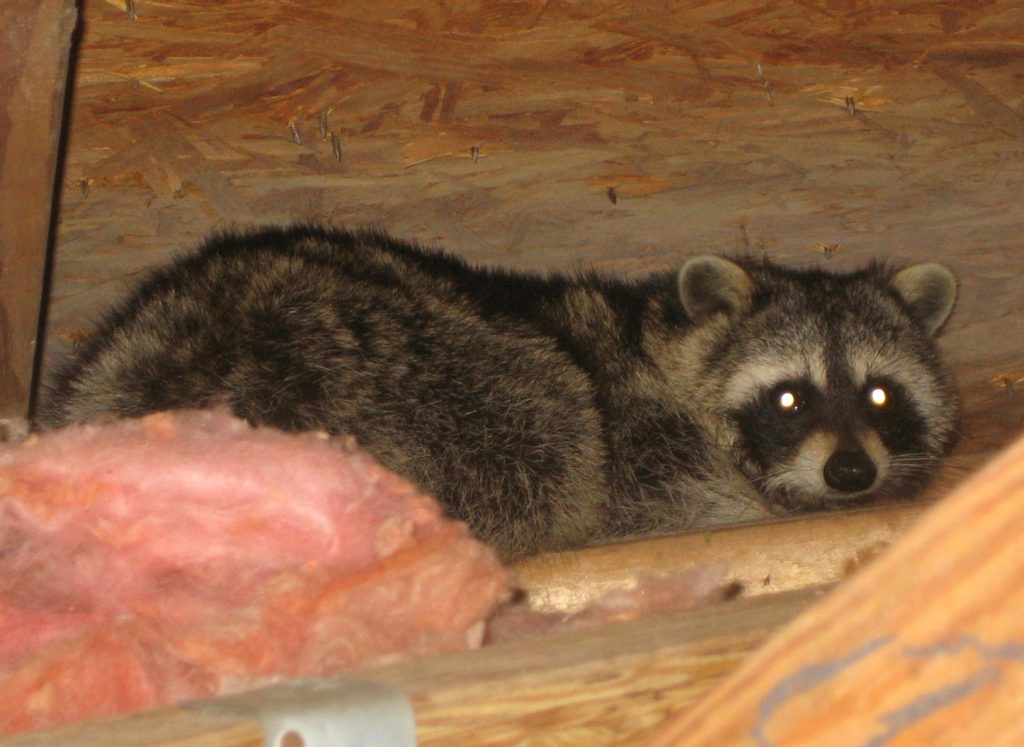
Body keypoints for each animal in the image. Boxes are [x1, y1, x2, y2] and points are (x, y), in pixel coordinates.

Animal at [41, 224, 958, 557]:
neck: (661, 345)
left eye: (880, 397)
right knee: (549, 422)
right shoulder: (645, 440)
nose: (851, 473)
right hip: (410, 368)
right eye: (790, 400)